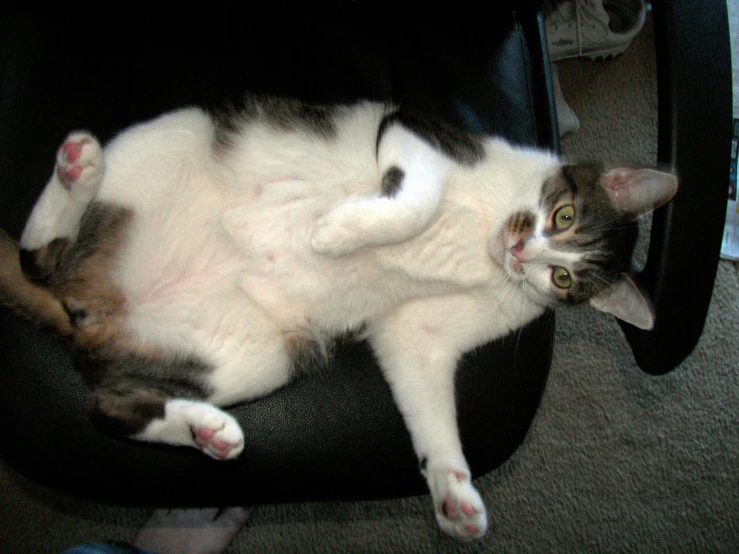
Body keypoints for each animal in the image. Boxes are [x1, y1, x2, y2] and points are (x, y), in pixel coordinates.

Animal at [0, 97, 676, 536]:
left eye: (565, 277)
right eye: (562, 216)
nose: (521, 251)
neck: (485, 234)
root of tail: (89, 303)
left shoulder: (419, 333)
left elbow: (428, 404)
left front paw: (454, 494)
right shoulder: (417, 133)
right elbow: (416, 199)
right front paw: (339, 231)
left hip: (260, 356)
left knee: (107, 407)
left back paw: (208, 432)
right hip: (170, 140)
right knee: (38, 259)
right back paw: (75, 170)